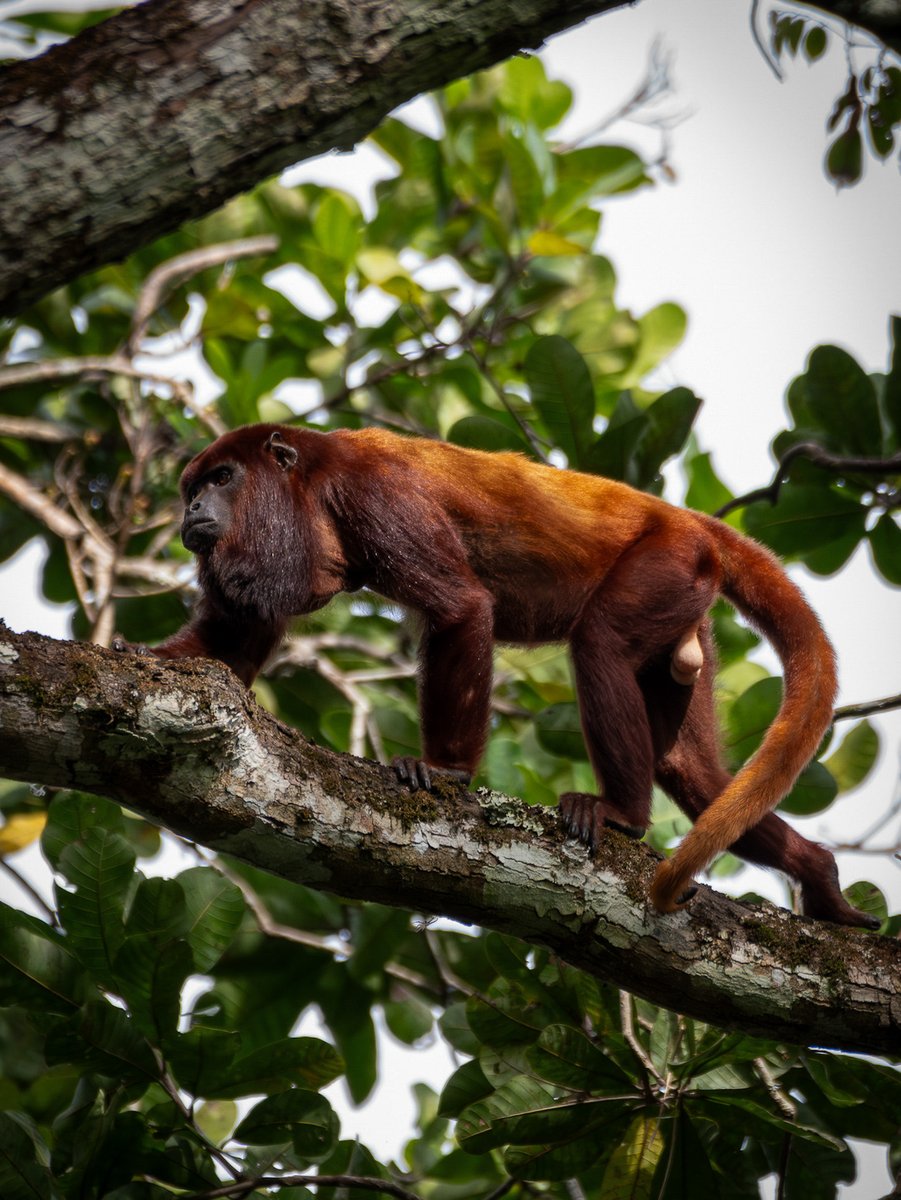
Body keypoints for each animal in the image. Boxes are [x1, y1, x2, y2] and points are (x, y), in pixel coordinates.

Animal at [144, 422, 879, 930]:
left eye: (221, 478)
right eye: (193, 487)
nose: (189, 512)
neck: (311, 478)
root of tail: (686, 519)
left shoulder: (371, 491)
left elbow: (461, 607)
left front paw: (441, 771)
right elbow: (235, 634)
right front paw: (150, 656)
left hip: (668, 563)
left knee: (599, 642)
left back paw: (622, 813)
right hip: (689, 617)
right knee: (693, 774)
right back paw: (818, 873)